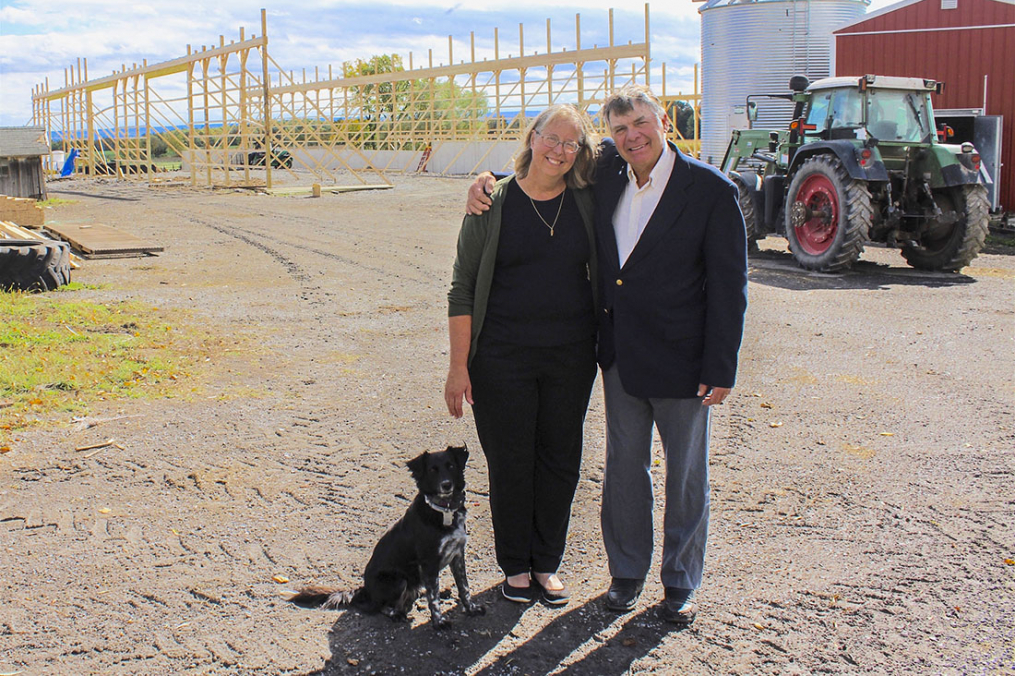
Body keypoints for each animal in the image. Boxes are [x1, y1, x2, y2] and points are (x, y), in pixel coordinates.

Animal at [288, 442, 485, 625]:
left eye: (451, 465)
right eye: (432, 470)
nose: (446, 485)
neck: (444, 510)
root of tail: (365, 590)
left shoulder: (457, 554)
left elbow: (464, 587)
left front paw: (471, 608)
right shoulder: (429, 562)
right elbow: (434, 598)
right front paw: (439, 622)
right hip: (398, 580)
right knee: (378, 607)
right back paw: (397, 613)